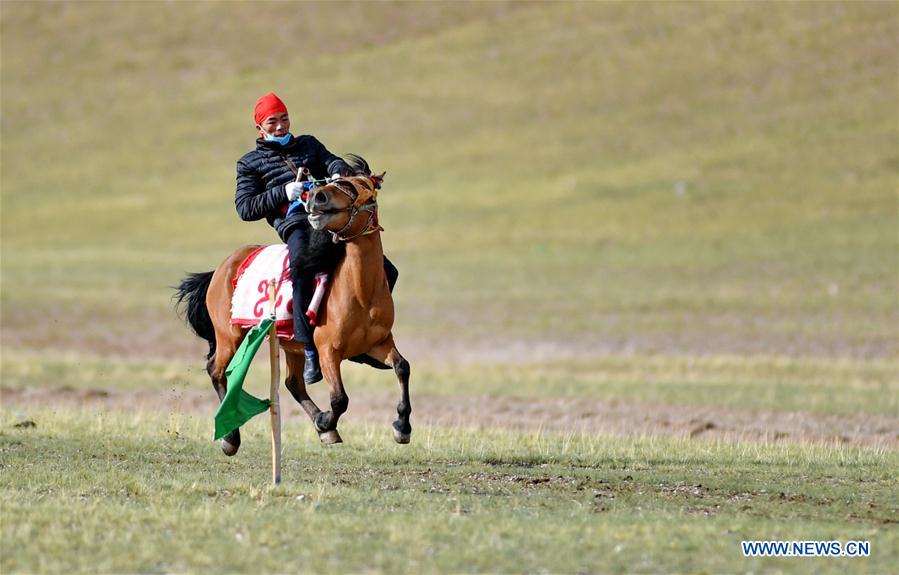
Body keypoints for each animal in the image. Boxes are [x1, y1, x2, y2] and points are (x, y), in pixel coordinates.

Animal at [175, 156, 411, 455]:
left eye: (362, 188)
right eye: (337, 183)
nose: (317, 197)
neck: (361, 293)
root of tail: (222, 267)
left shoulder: (379, 343)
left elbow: (402, 367)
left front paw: (402, 427)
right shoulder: (328, 352)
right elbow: (340, 398)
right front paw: (326, 420)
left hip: (291, 345)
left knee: (293, 382)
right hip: (230, 336)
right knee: (216, 371)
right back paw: (231, 438)